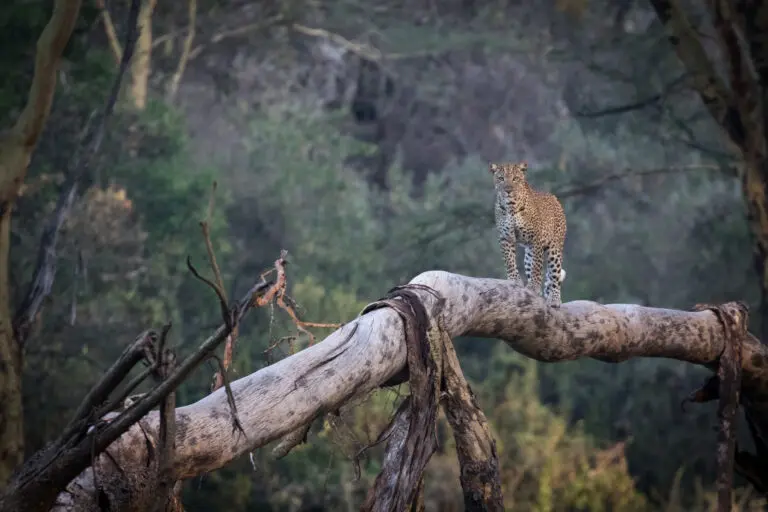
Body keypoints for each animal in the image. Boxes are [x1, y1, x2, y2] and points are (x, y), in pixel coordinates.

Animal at [489, 161, 567, 306]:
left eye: (515, 179)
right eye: (501, 178)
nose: (508, 190)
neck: (511, 207)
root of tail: (555, 199)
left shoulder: (535, 238)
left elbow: (537, 266)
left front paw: (534, 287)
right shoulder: (505, 237)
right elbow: (509, 260)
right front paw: (514, 279)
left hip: (554, 249)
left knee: (554, 275)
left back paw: (554, 299)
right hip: (528, 253)